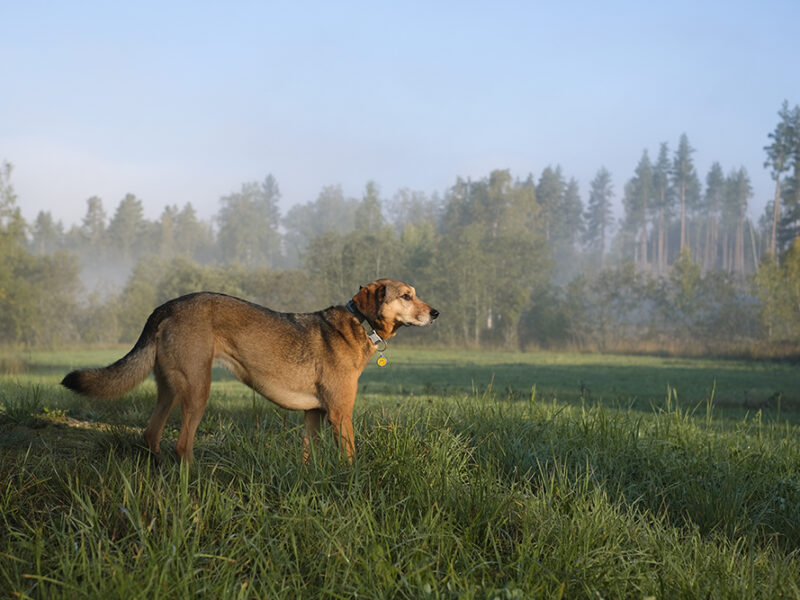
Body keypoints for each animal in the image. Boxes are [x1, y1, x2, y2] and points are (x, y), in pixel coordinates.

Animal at [61, 278, 438, 462]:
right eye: (406, 296)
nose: (436, 313)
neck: (360, 324)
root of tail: (165, 307)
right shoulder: (340, 414)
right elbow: (350, 458)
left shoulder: (313, 415)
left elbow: (310, 458)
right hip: (197, 390)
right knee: (182, 445)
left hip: (170, 389)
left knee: (151, 434)